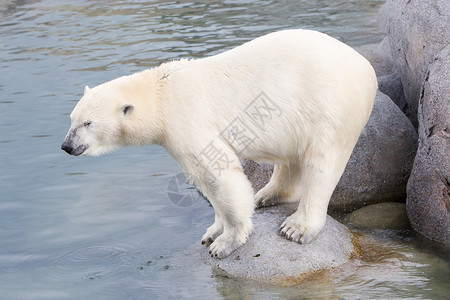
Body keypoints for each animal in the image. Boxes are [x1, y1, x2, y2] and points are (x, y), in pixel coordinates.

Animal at [59, 28, 376, 258]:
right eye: (72, 119)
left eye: (88, 123)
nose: (67, 146)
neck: (161, 93)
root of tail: (367, 68)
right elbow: (208, 184)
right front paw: (213, 231)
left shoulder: (188, 120)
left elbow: (218, 175)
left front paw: (225, 242)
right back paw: (267, 195)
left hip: (329, 109)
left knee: (321, 165)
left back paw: (297, 228)